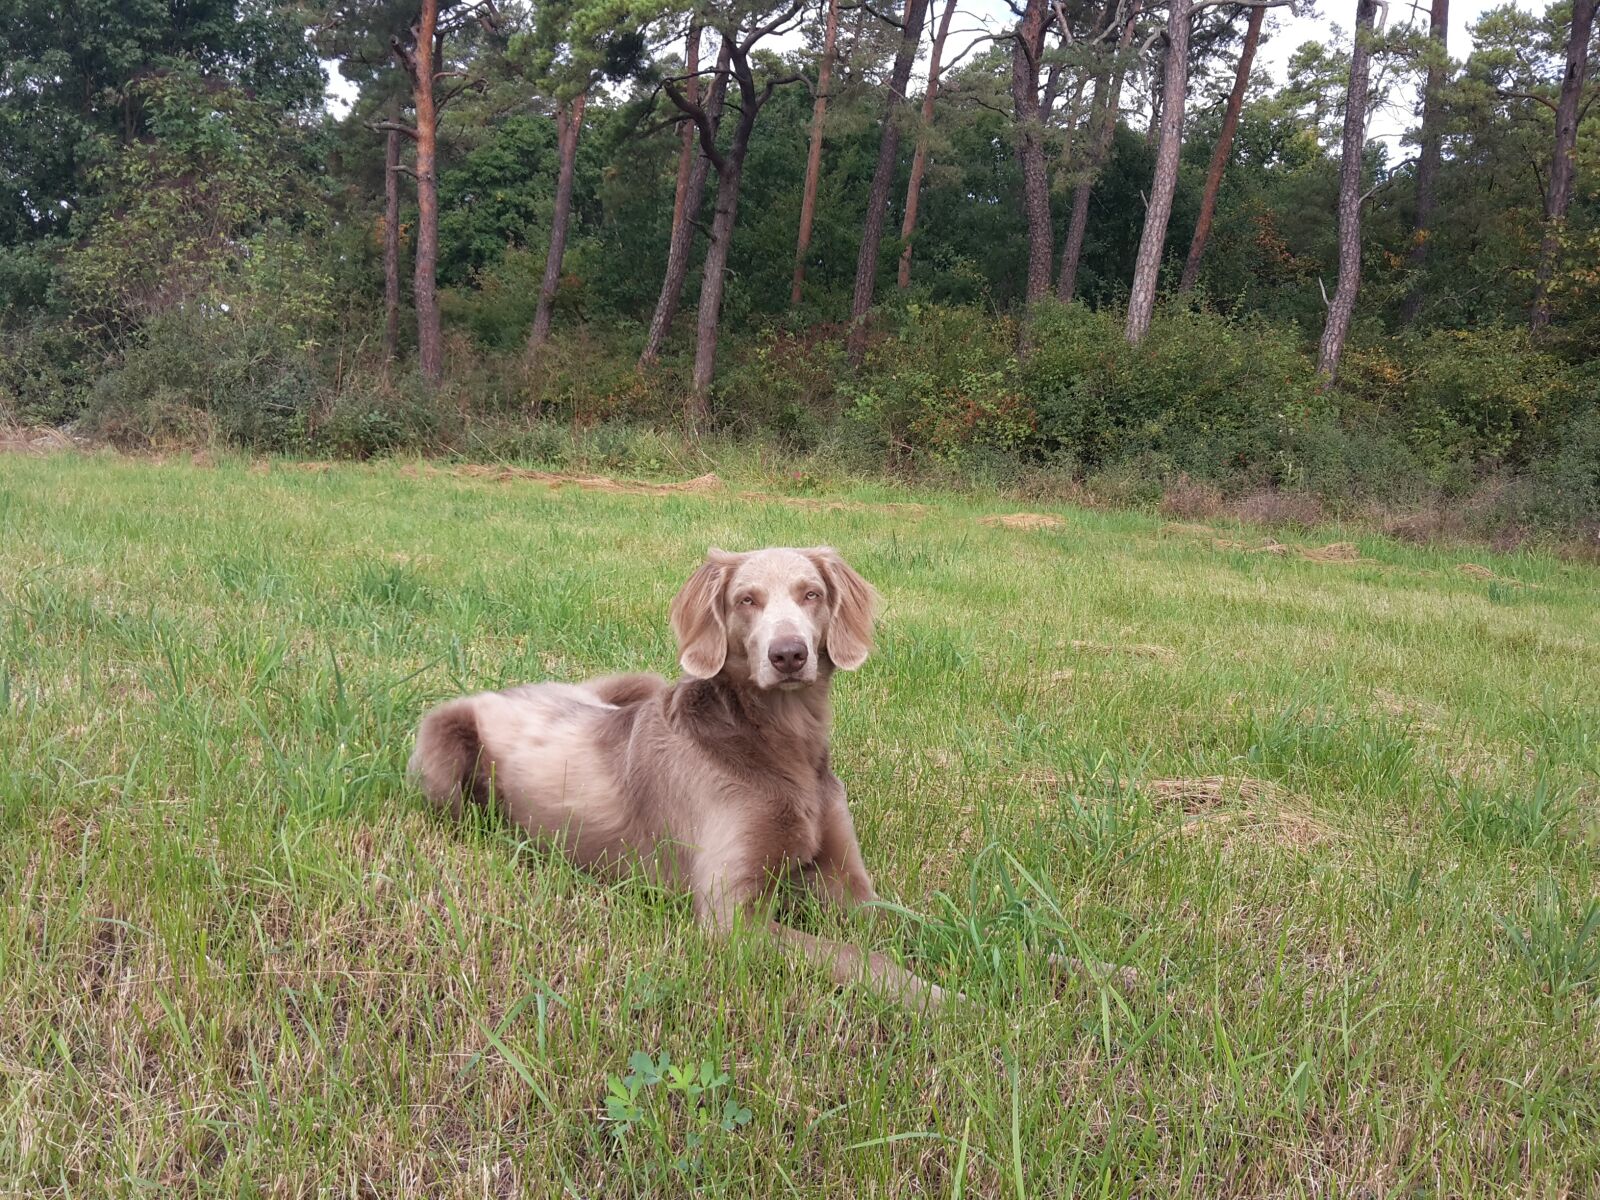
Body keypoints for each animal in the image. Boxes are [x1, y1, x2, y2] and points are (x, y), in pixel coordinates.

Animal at [406, 550, 940, 1011]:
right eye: (746, 600)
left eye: (811, 594)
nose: (788, 654)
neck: (780, 742)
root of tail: (504, 690)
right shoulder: (732, 919)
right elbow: (859, 956)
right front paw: (944, 1001)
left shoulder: (848, 884)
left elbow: (917, 922)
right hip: (439, 749)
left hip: (635, 682)